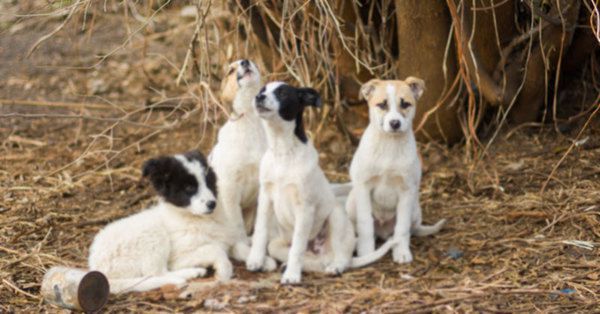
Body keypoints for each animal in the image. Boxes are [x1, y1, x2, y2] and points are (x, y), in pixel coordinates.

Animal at [88, 151, 276, 294]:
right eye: (189, 188)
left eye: (209, 183)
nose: (212, 204)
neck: (197, 219)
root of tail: (99, 268)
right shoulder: (179, 257)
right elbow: (214, 249)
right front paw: (224, 271)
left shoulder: (227, 241)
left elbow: (241, 248)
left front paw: (262, 261)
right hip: (153, 236)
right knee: (155, 273)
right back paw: (186, 275)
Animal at [244, 82, 394, 284]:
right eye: (262, 90)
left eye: (282, 93)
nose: (258, 97)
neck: (283, 152)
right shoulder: (265, 199)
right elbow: (260, 232)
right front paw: (255, 260)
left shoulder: (304, 209)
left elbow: (297, 246)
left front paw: (292, 276)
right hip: (277, 245)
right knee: (313, 260)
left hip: (336, 217)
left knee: (341, 257)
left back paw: (335, 267)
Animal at [342, 77, 446, 264]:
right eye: (382, 105)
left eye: (405, 104)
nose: (395, 123)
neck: (389, 144)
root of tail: (383, 231)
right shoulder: (363, 187)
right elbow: (365, 224)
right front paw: (366, 253)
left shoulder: (406, 191)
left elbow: (402, 228)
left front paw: (401, 252)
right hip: (352, 201)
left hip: (414, 207)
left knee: (407, 230)